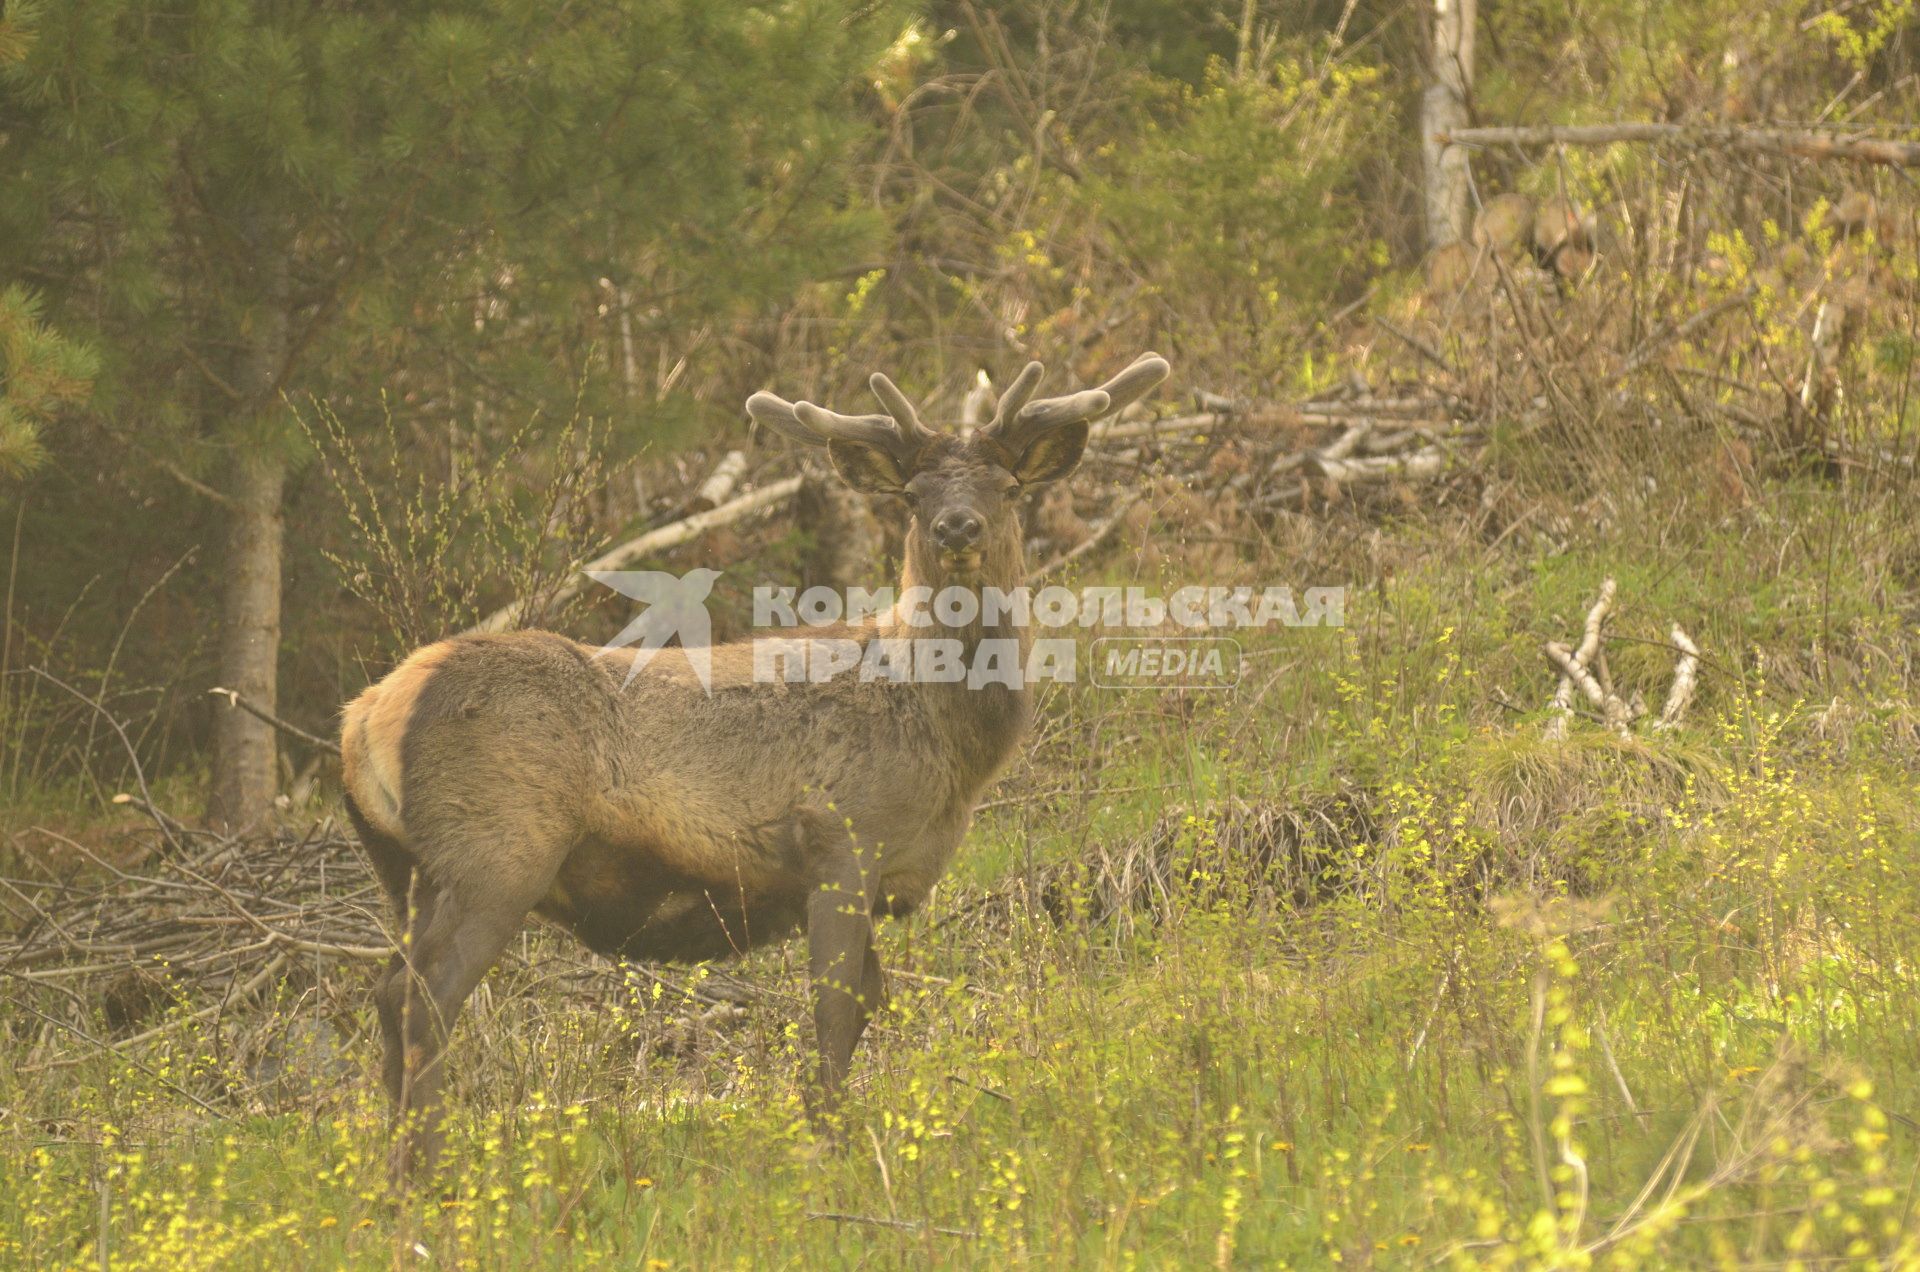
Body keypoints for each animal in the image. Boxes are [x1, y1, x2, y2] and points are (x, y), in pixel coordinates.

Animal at [336, 351, 1159, 1183]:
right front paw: (827, 1146)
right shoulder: (840, 839)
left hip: (407, 871)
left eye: (1010, 486)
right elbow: (833, 1007)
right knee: (426, 995)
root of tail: (363, 718)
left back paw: (393, 1174)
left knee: (388, 990)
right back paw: (427, 1174)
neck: (946, 743)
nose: (956, 525)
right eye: (912, 494)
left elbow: (867, 999)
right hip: (499, 851)